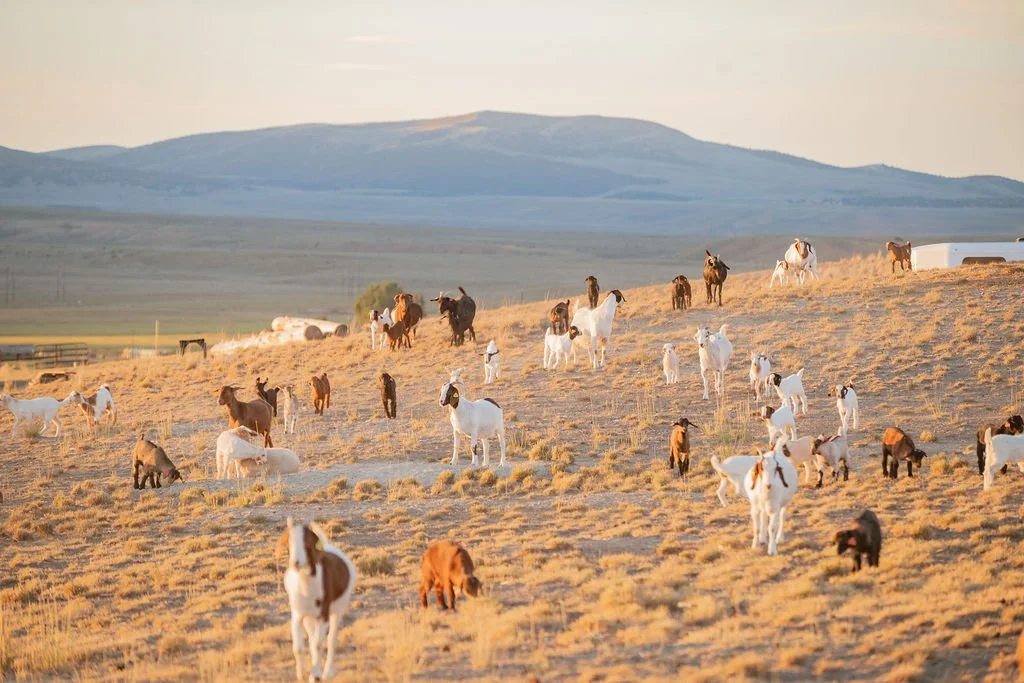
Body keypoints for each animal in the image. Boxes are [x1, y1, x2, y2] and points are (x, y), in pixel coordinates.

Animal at [282, 518, 357, 683]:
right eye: (289, 542)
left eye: (307, 543)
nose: (295, 563)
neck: (306, 586)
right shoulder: (298, 616)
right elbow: (299, 647)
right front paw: (302, 675)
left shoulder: (323, 616)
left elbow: (318, 644)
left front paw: (316, 675)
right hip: (310, 618)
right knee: (312, 640)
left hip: (336, 613)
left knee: (331, 640)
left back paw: (327, 672)